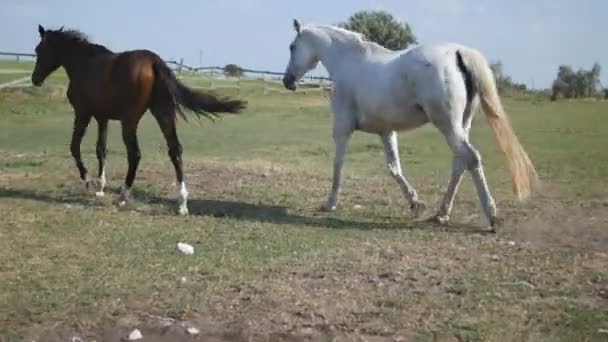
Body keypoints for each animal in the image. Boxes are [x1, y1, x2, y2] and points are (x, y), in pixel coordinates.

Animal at [32, 26, 246, 214]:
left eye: (38, 50)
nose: (35, 79)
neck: (85, 64)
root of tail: (153, 61)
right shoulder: (102, 118)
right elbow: (101, 149)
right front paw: (100, 186)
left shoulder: (83, 113)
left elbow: (75, 147)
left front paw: (88, 181)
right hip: (163, 113)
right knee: (175, 150)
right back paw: (182, 203)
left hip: (130, 120)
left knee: (135, 154)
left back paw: (123, 196)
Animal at [282, 20, 536, 231]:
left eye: (292, 47)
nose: (287, 81)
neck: (349, 64)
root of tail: (458, 52)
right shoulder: (386, 132)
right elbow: (394, 168)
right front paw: (416, 204)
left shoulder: (342, 130)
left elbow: (338, 166)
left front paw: (330, 203)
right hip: (461, 125)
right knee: (460, 163)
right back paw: (441, 213)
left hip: (447, 125)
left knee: (471, 158)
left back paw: (491, 216)